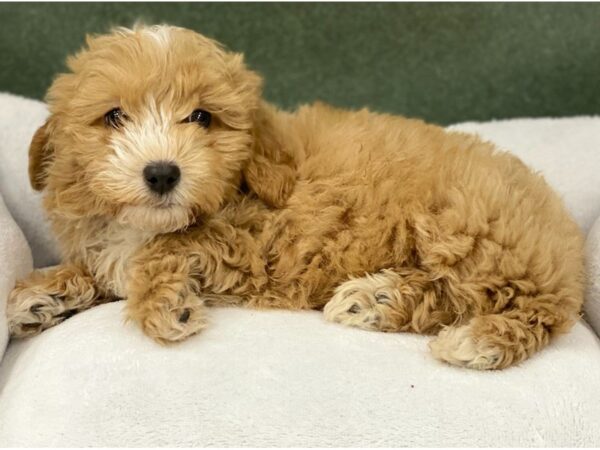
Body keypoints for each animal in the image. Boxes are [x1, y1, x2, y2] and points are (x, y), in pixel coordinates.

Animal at [7, 23, 584, 370]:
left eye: (201, 117)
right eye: (113, 116)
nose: (163, 173)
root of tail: (564, 237)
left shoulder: (248, 241)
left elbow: (161, 252)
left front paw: (164, 306)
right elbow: (101, 267)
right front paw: (42, 293)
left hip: (467, 225)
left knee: (531, 309)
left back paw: (470, 339)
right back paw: (372, 300)